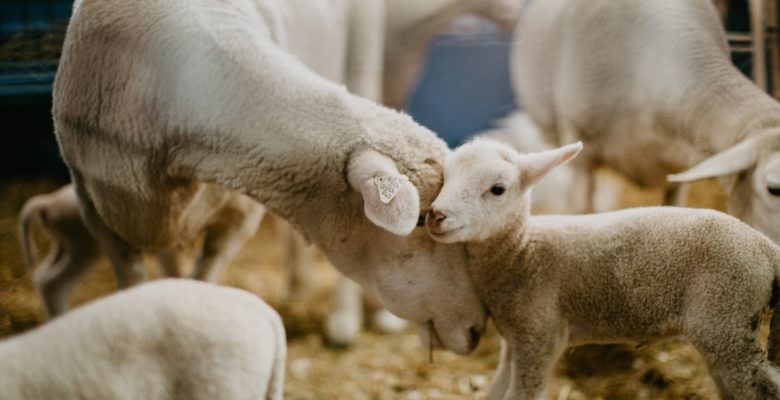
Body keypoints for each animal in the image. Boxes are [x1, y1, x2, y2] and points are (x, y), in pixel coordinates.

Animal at [426, 138, 780, 400]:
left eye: (497, 189)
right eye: (445, 177)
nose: (435, 215)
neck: (523, 250)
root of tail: (765, 248)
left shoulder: (541, 335)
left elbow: (521, 394)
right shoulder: (514, 338)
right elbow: (496, 391)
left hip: (726, 318)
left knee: (760, 386)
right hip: (728, 327)